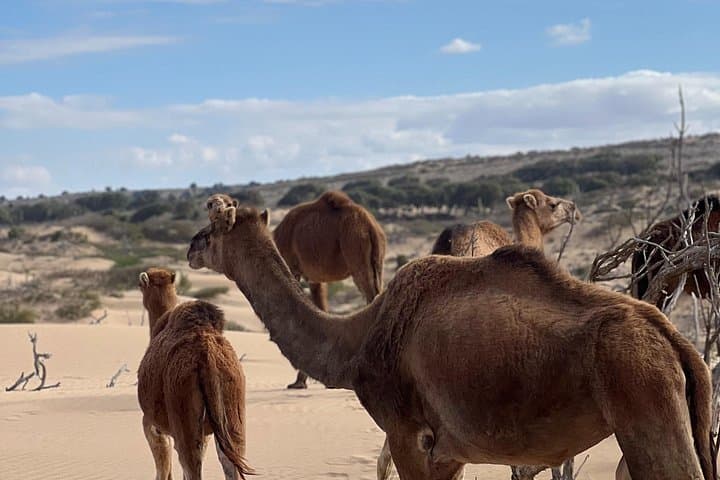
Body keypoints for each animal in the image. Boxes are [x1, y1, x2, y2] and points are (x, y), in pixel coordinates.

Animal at [137, 267, 252, 480]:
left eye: (141, 285)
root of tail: (207, 358)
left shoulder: (152, 426)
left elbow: (163, 470)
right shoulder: (206, 433)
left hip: (182, 408)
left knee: (191, 465)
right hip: (233, 412)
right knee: (231, 463)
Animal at [272, 190, 386, 389]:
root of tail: (371, 226)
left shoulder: (293, 267)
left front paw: (299, 382)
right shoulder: (314, 278)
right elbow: (320, 308)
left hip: (355, 247)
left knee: (370, 295)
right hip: (377, 260)